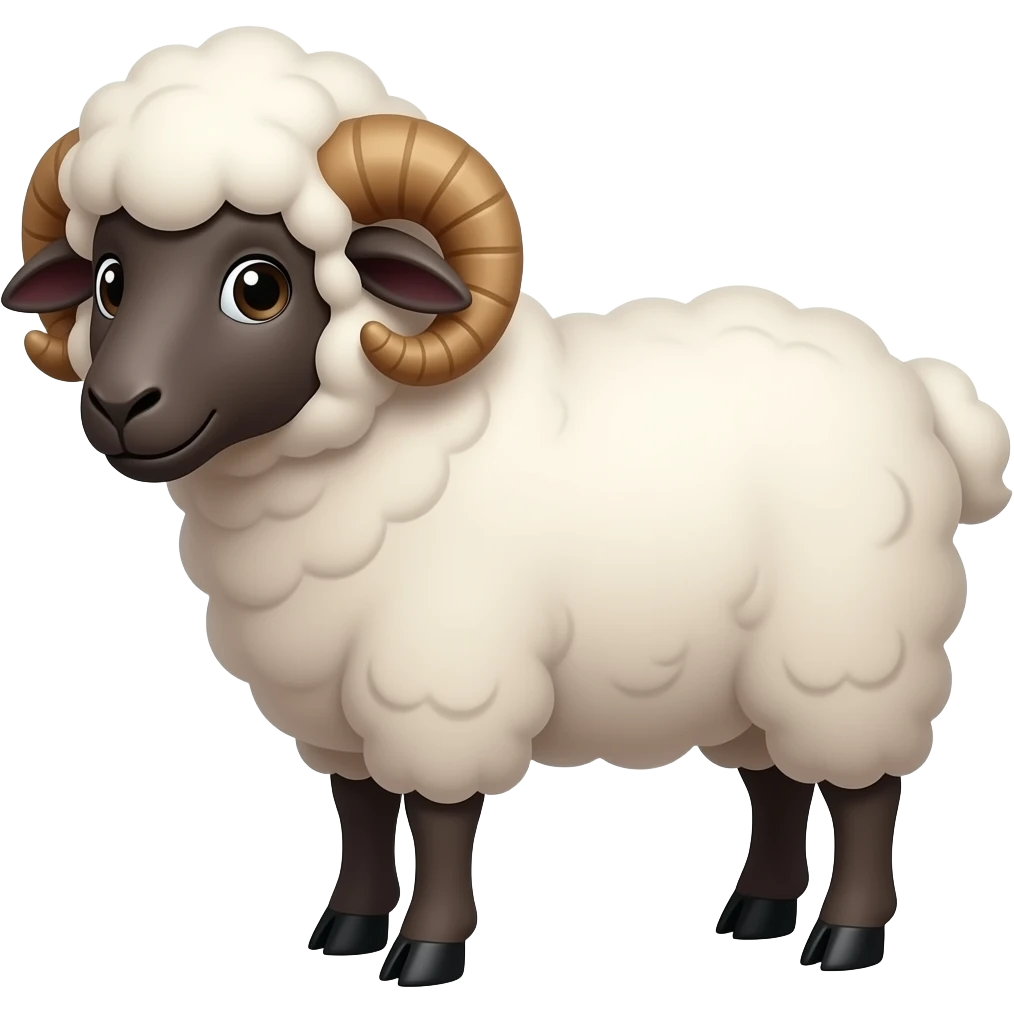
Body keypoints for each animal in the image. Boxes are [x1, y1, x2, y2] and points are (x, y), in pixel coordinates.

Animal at [4, 25, 1011, 988]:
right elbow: (360, 811)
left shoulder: (441, 676)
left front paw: (427, 951)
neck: (368, 448)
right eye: (110, 281)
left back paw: (846, 937)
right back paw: (756, 913)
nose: (118, 406)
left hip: (851, 649)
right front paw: (348, 930)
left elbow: (439, 820)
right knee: (775, 784)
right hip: (756, 673)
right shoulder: (334, 697)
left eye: (258, 285)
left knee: (865, 791)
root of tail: (918, 386)